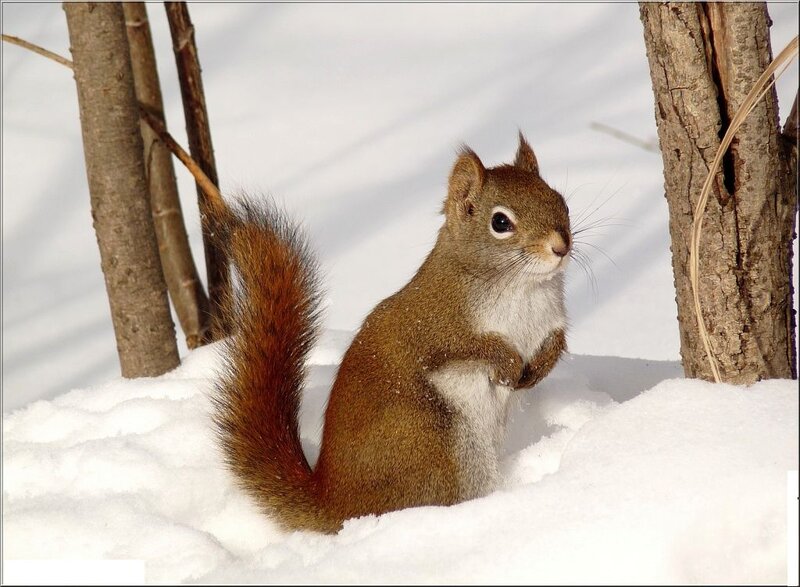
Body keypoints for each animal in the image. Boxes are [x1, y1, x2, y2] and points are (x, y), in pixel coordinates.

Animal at [211, 133, 571, 534]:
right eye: (501, 222)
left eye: (559, 199)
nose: (561, 247)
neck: (524, 287)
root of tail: (335, 504)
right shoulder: (437, 327)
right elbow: (470, 348)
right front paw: (507, 363)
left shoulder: (551, 320)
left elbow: (556, 342)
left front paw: (538, 369)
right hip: (429, 443)